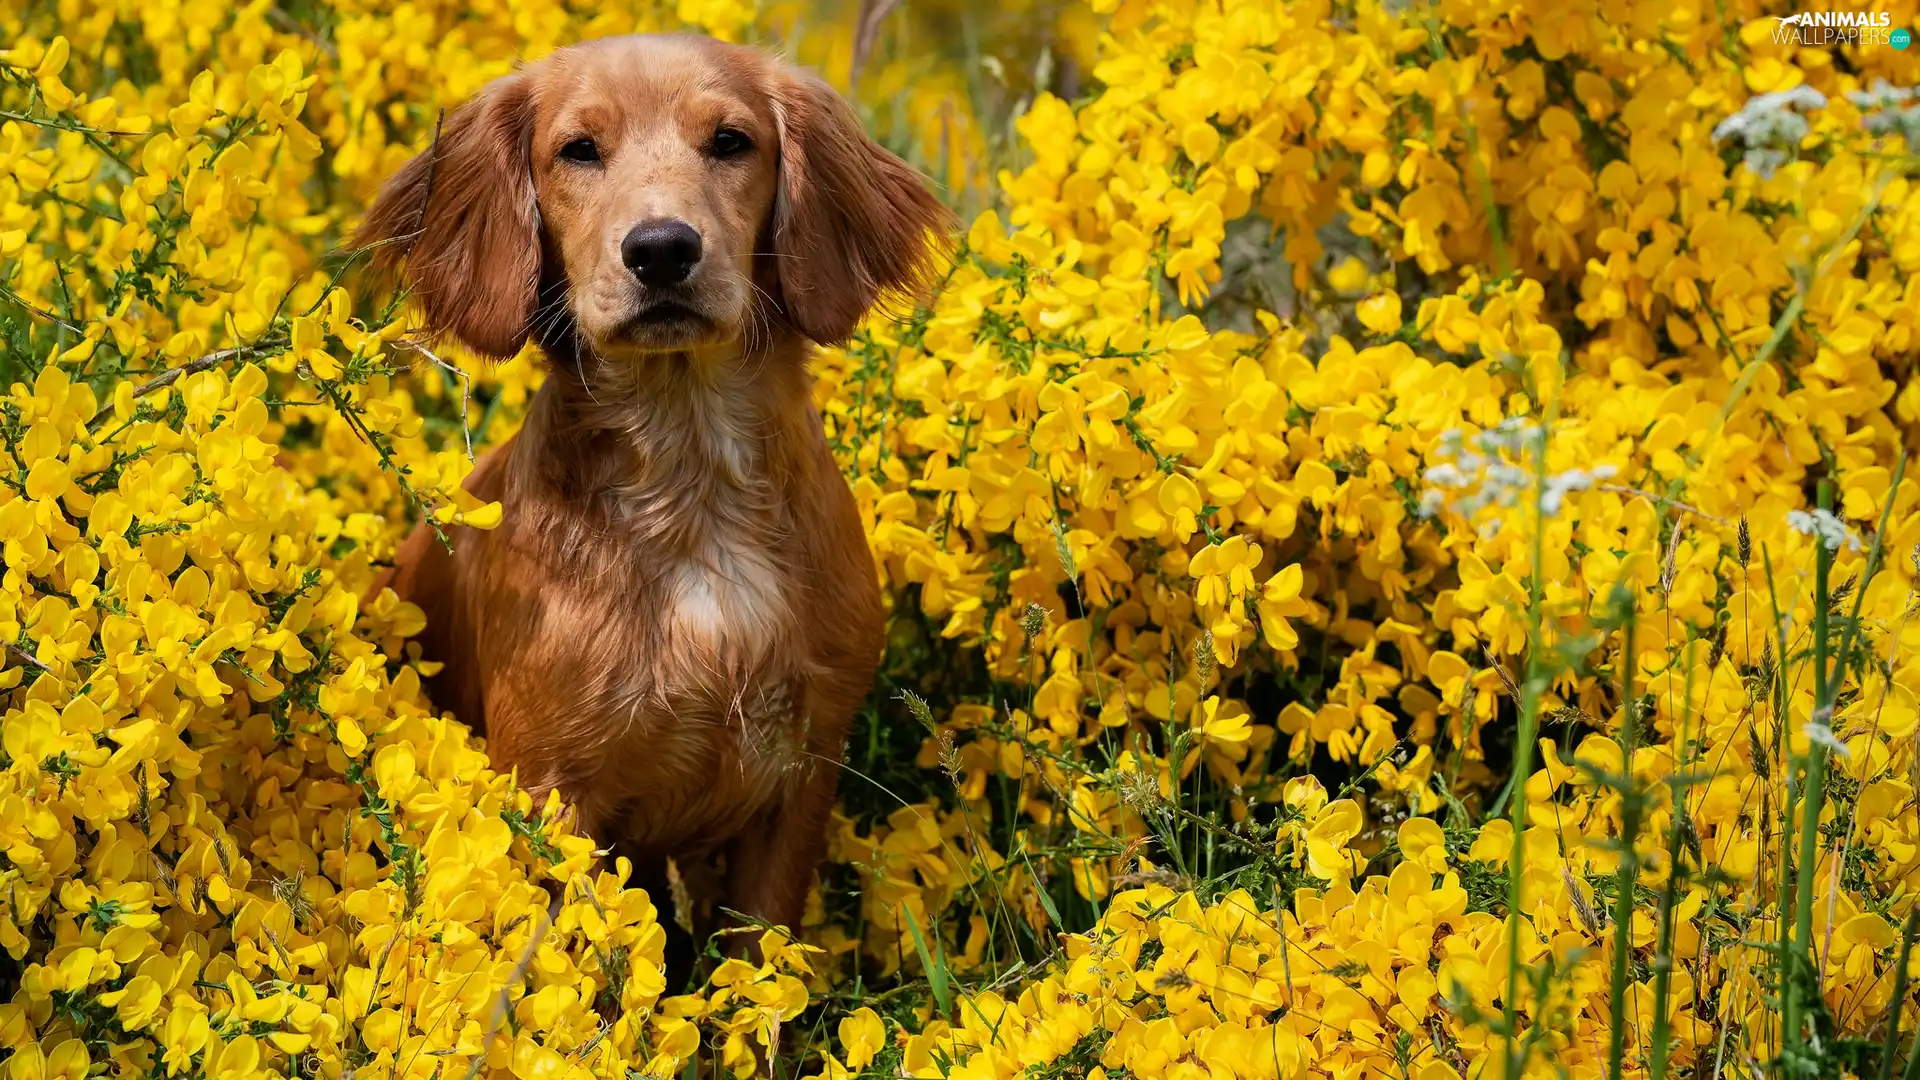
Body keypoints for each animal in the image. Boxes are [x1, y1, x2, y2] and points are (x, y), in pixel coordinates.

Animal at [355, 33, 952, 941]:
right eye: (578, 150)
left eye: (731, 141)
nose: (663, 248)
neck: (692, 478)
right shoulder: (553, 785)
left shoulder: (799, 775)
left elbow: (759, 956)